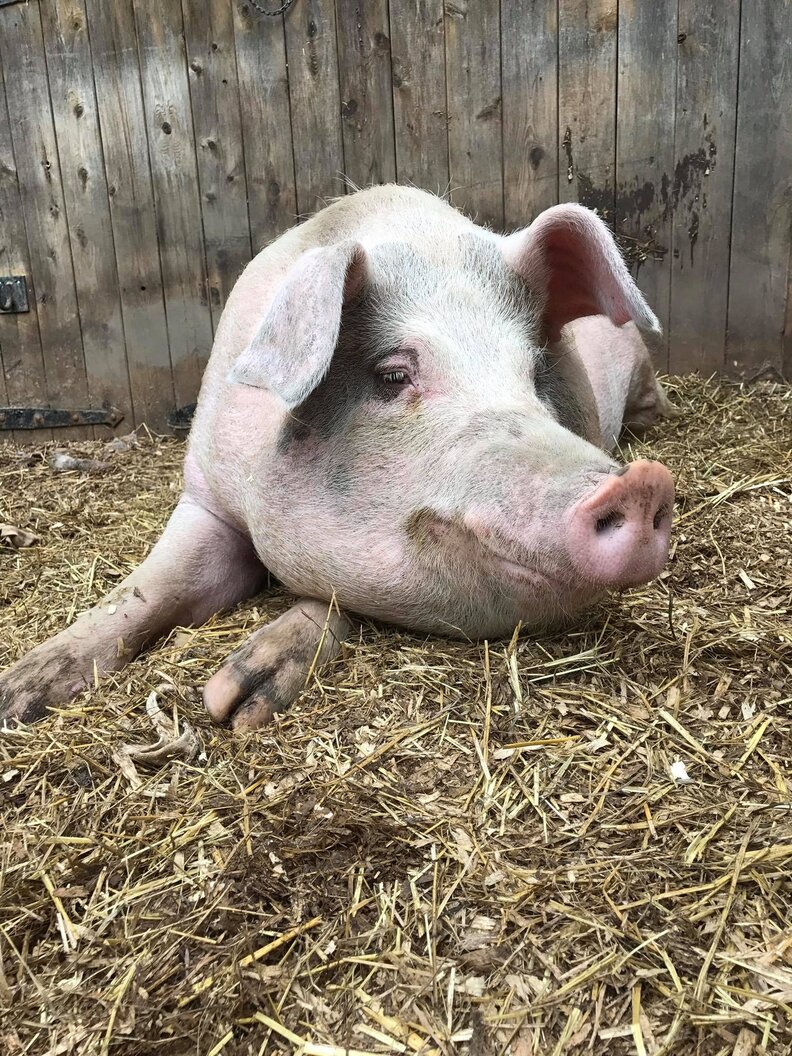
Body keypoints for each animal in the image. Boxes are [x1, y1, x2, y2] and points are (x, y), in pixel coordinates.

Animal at [0, 186, 675, 730]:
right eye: (393, 374)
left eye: (537, 375)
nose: (641, 487)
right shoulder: (206, 494)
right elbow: (147, 589)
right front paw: (16, 697)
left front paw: (234, 700)